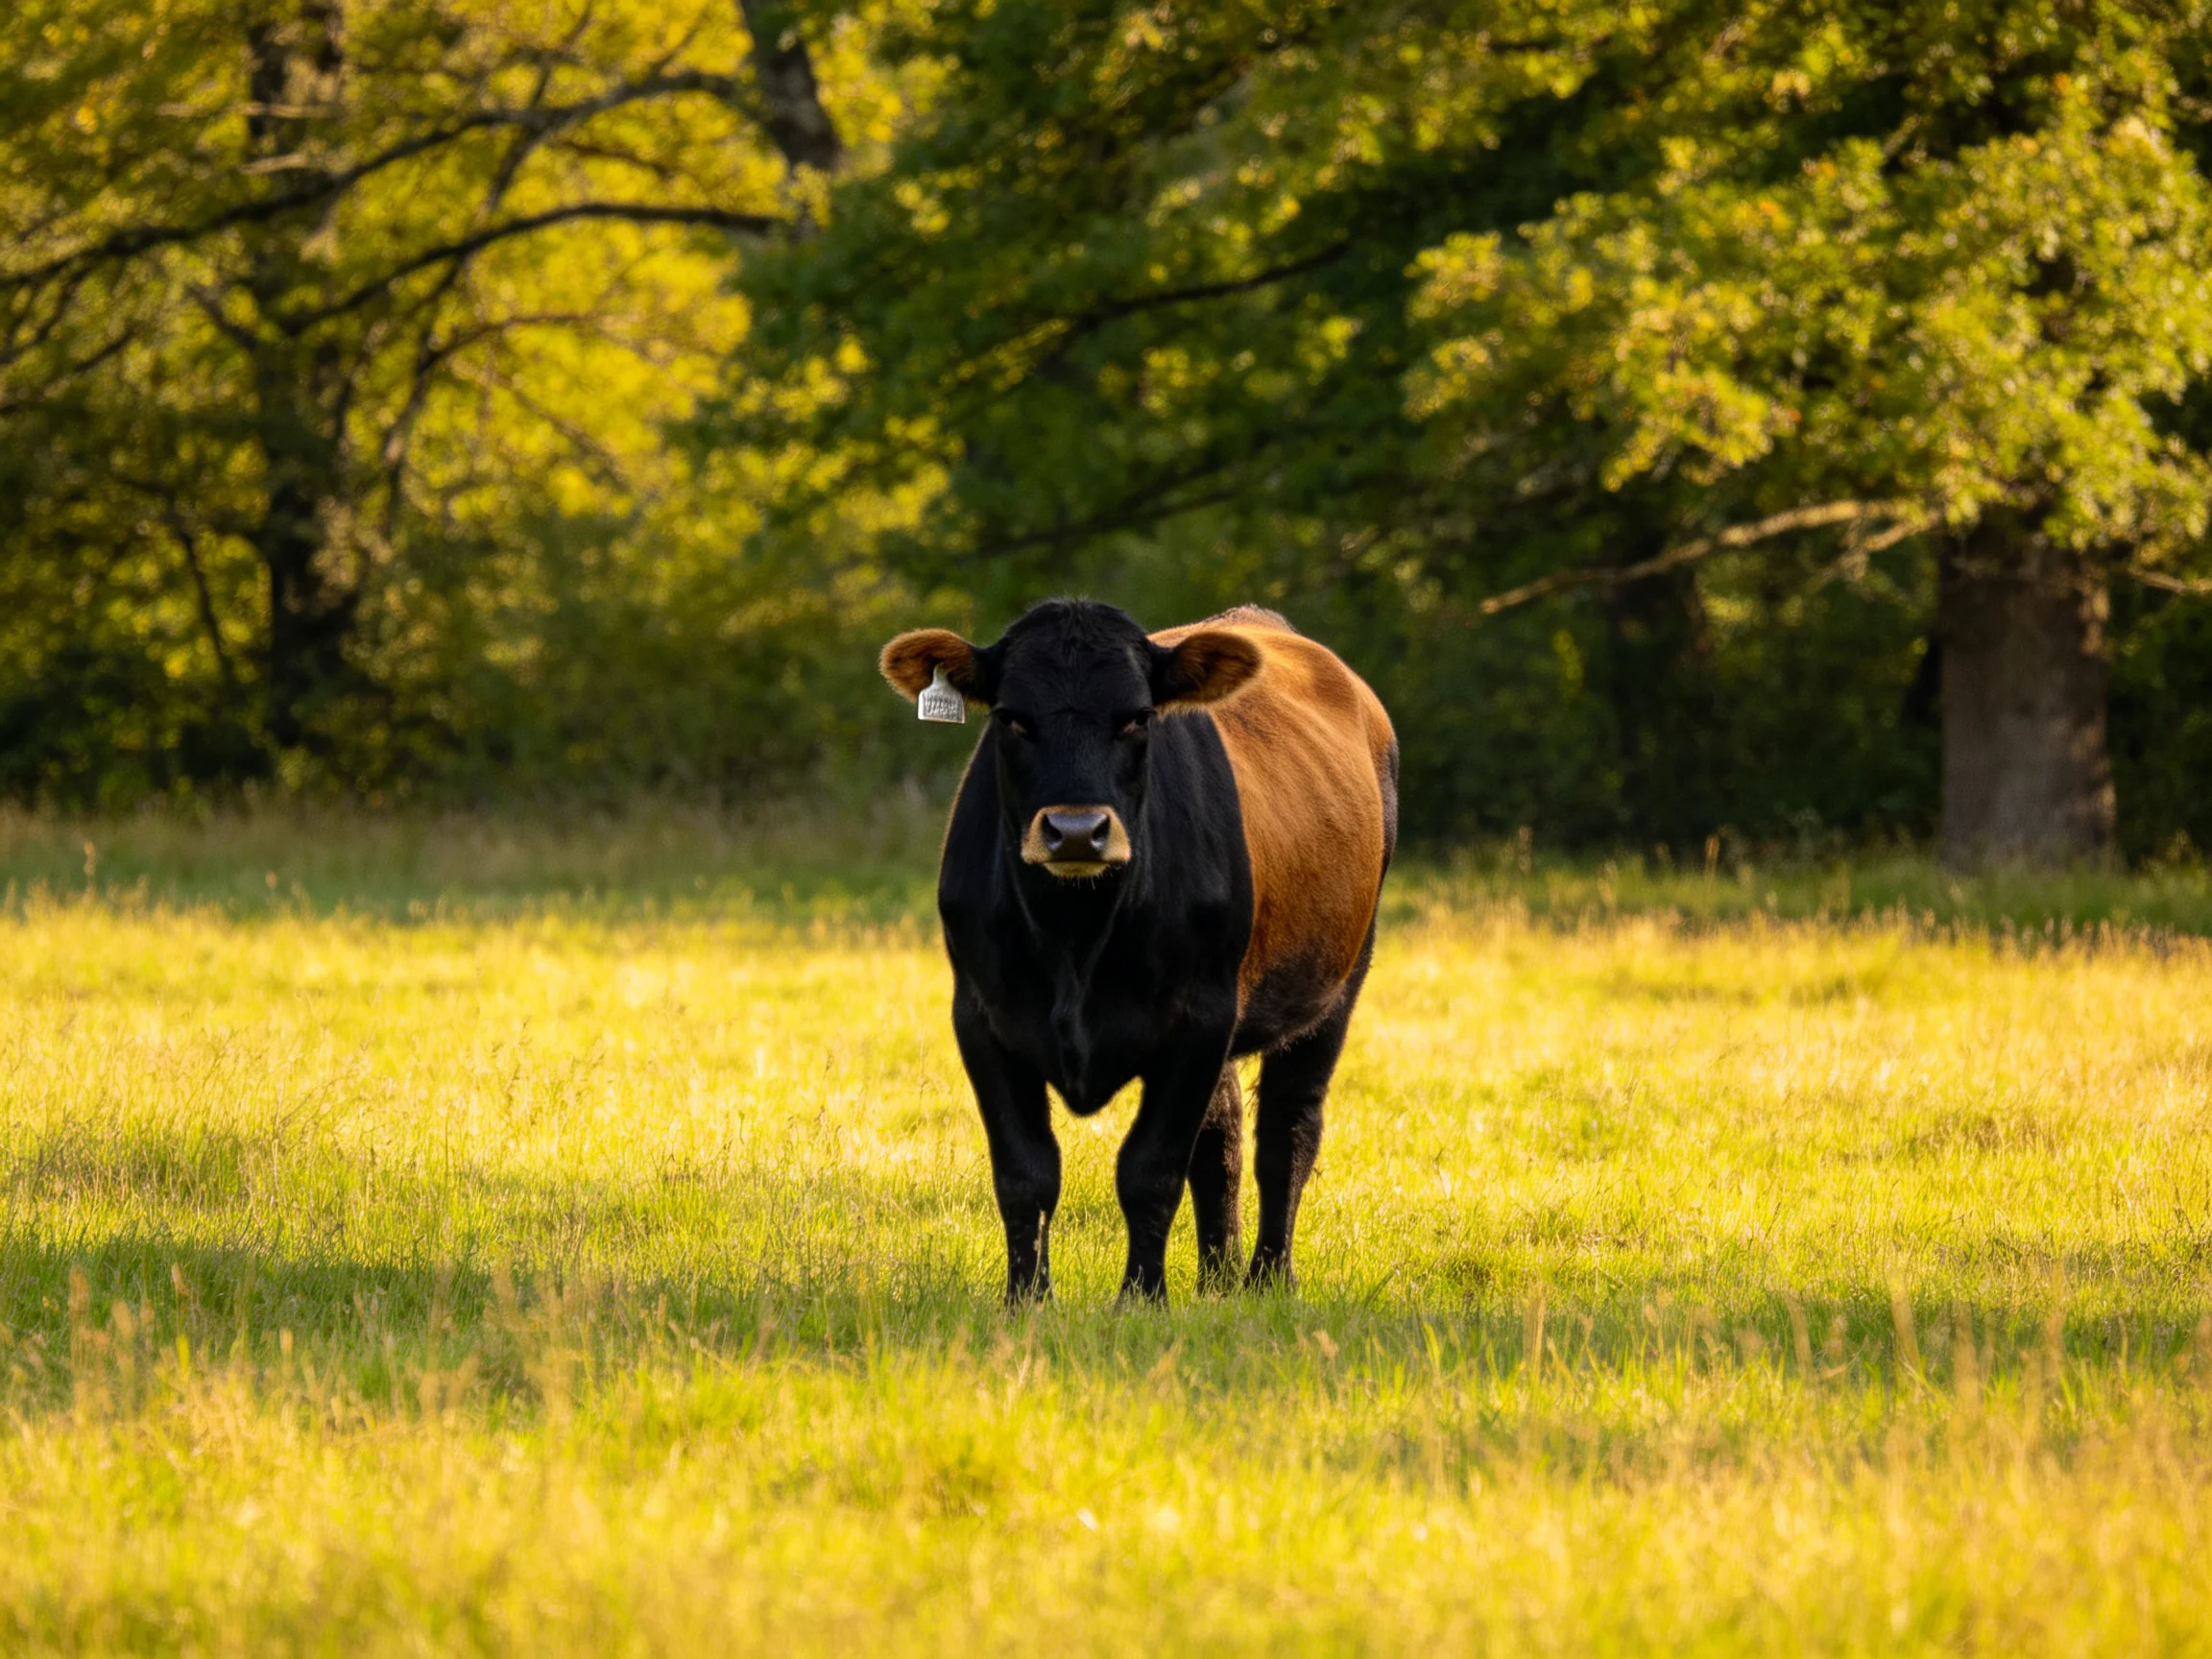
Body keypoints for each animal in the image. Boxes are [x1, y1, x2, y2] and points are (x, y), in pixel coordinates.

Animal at [880, 599, 1397, 1304]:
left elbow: (1150, 1169)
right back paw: (1216, 1279)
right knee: (1223, 1135)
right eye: (1011, 716)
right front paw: (1027, 1299)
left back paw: (1268, 1278)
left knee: (1286, 1130)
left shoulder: (1200, 1017)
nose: (1075, 830)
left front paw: (1142, 1298)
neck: (1075, 940)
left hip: (1339, 983)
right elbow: (1025, 1172)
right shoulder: (981, 1017)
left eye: (1137, 717)